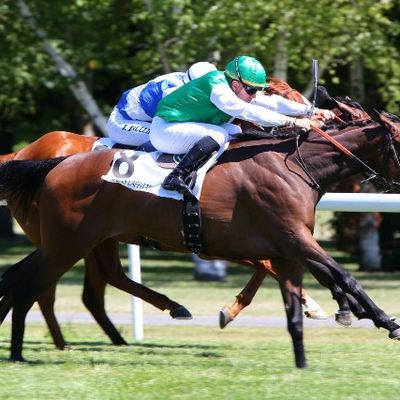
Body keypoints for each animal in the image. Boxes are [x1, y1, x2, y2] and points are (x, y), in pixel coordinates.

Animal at [0, 79, 326, 350]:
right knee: (53, 285)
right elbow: (267, 263)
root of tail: (21, 154)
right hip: (74, 236)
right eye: (286, 96)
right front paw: (311, 304)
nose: (310, 121)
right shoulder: (221, 236)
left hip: (82, 238)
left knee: (75, 282)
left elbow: (269, 262)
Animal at [2, 111, 400, 368]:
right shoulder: (288, 239)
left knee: (26, 278)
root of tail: (51, 163)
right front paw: (384, 320)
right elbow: (343, 275)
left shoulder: (284, 246)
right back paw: (21, 350)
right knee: (35, 284)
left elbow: (304, 286)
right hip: (68, 243)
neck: (294, 166)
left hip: (71, 241)